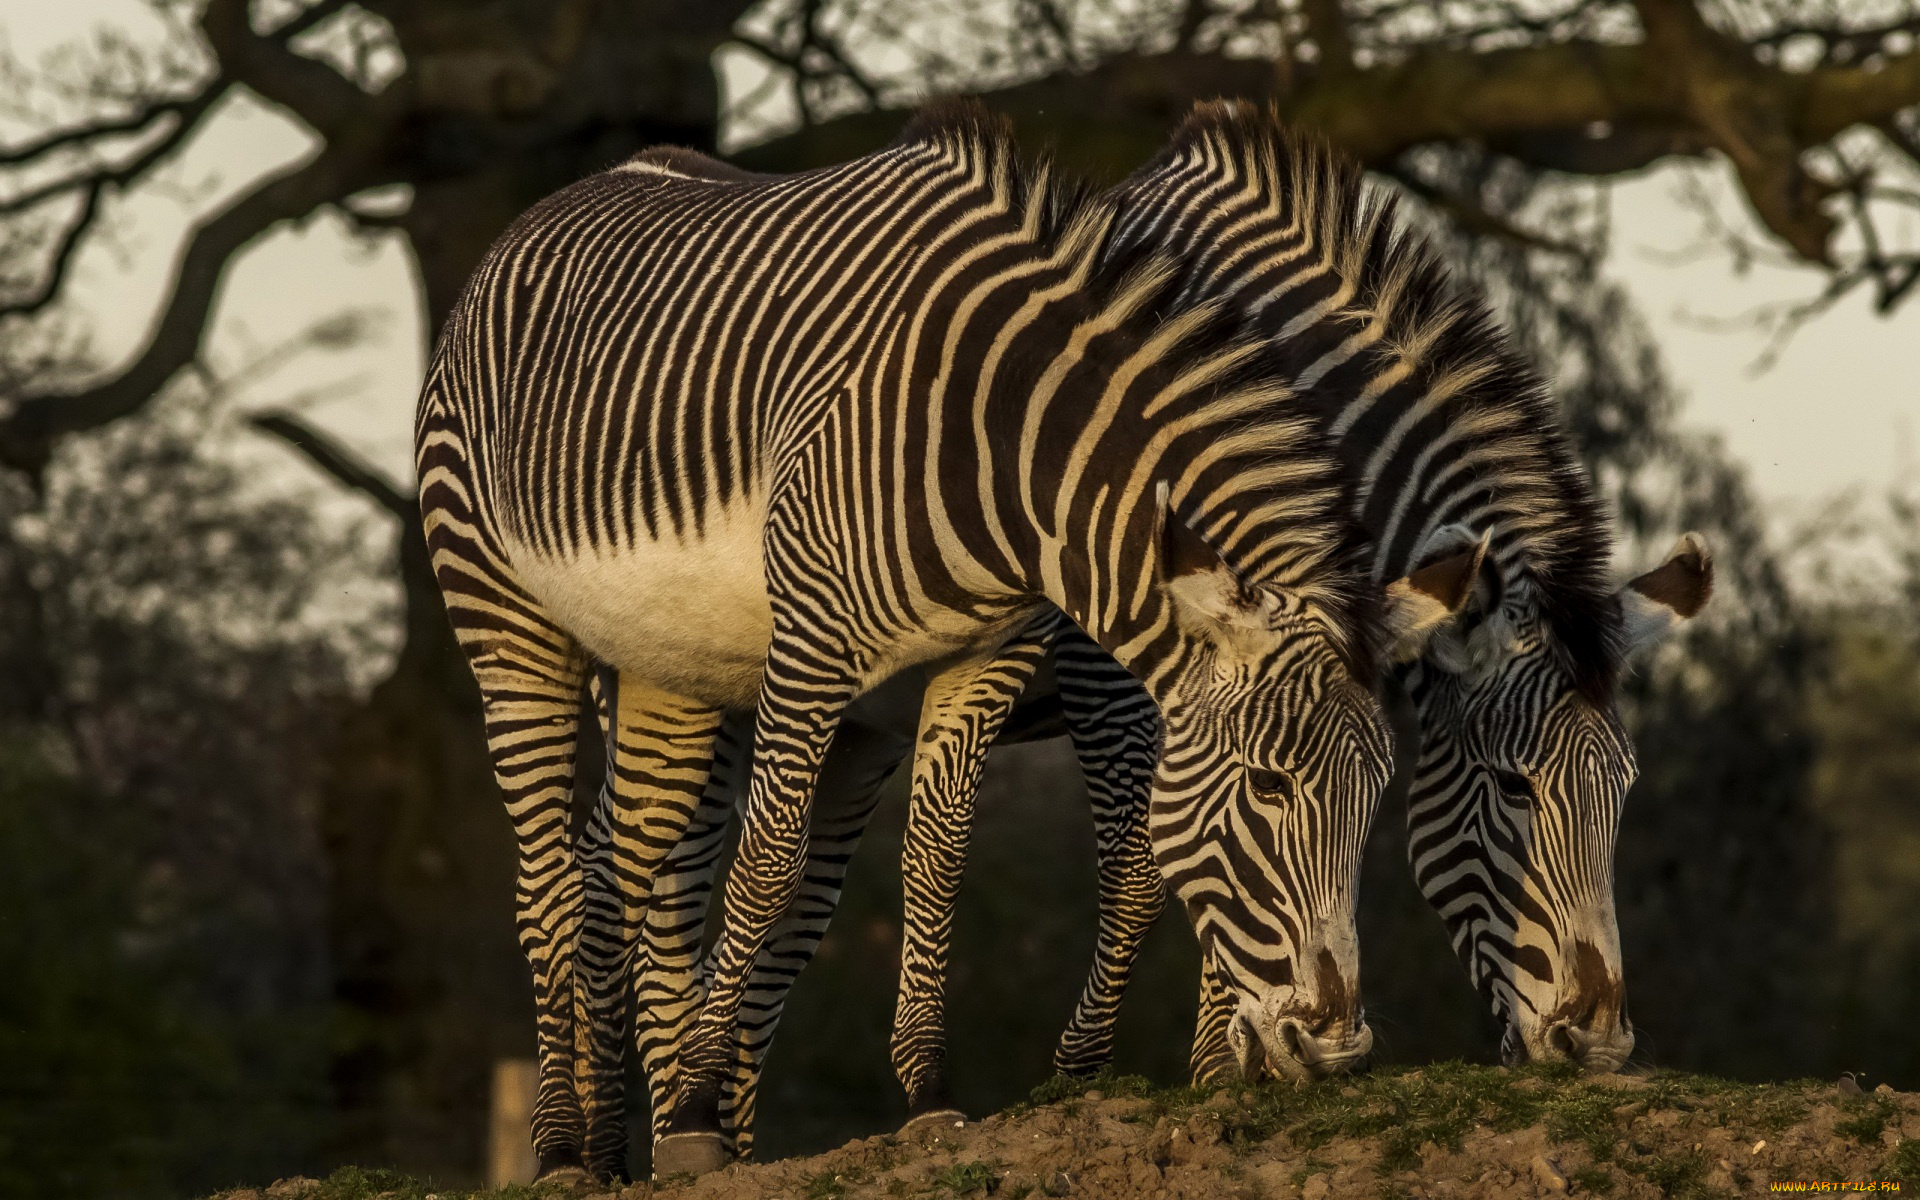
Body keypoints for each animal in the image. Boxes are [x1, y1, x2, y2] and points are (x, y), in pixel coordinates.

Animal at [416, 100, 1397, 1182]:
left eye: (1376, 795)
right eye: (1269, 786)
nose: (1338, 1047)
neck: (1011, 456)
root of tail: (549, 208)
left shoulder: (987, 654)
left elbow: (936, 858)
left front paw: (927, 1093)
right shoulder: (818, 641)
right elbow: (768, 865)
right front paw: (698, 1109)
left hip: (669, 673)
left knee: (611, 874)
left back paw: (606, 1152)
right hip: (511, 629)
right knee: (549, 882)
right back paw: (562, 1146)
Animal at [614, 100, 1712, 1152]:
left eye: (1622, 791)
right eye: (1513, 788)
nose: (1599, 1044)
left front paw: (1234, 1064)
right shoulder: (1116, 663)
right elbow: (1153, 861)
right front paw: (1104, 1072)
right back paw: (647, 1133)